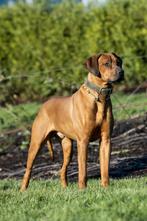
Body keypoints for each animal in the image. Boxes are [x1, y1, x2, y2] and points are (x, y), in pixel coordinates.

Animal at [20, 52, 124, 191]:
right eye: (106, 63)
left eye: (118, 62)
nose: (121, 72)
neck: (98, 97)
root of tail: (43, 106)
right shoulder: (83, 141)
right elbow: (83, 169)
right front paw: (82, 189)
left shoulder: (106, 140)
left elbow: (105, 168)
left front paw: (106, 187)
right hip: (36, 143)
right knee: (28, 169)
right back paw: (23, 190)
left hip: (68, 146)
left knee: (62, 170)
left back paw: (65, 189)